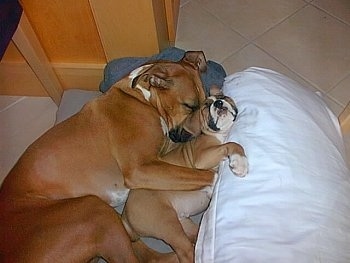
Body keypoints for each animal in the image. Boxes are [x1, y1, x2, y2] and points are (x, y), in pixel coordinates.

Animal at [121, 90, 247, 263]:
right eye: (206, 107)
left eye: (223, 97)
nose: (219, 103)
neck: (220, 134)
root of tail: (124, 215)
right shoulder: (202, 158)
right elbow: (232, 144)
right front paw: (240, 163)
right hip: (167, 224)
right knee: (185, 251)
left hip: (183, 224)